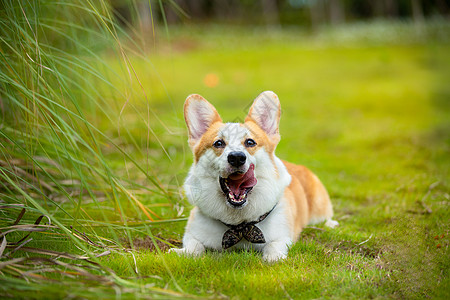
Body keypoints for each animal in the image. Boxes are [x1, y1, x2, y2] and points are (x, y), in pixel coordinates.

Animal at [171, 90, 338, 262]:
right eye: (218, 143)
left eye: (250, 142)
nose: (236, 157)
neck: (239, 225)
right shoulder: (193, 233)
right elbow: (193, 247)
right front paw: (181, 252)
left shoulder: (282, 237)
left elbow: (273, 247)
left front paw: (273, 258)